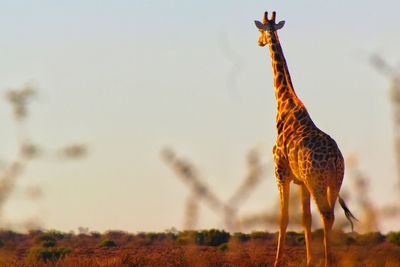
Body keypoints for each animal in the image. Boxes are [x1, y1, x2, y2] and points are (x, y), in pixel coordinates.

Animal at [255, 11, 358, 266]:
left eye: (260, 29)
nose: (259, 42)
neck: (285, 105)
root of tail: (334, 160)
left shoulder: (280, 172)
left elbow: (283, 217)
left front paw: (276, 261)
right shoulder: (301, 181)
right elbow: (305, 218)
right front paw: (309, 260)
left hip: (317, 181)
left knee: (326, 214)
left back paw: (328, 261)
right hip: (335, 181)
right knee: (329, 216)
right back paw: (327, 259)